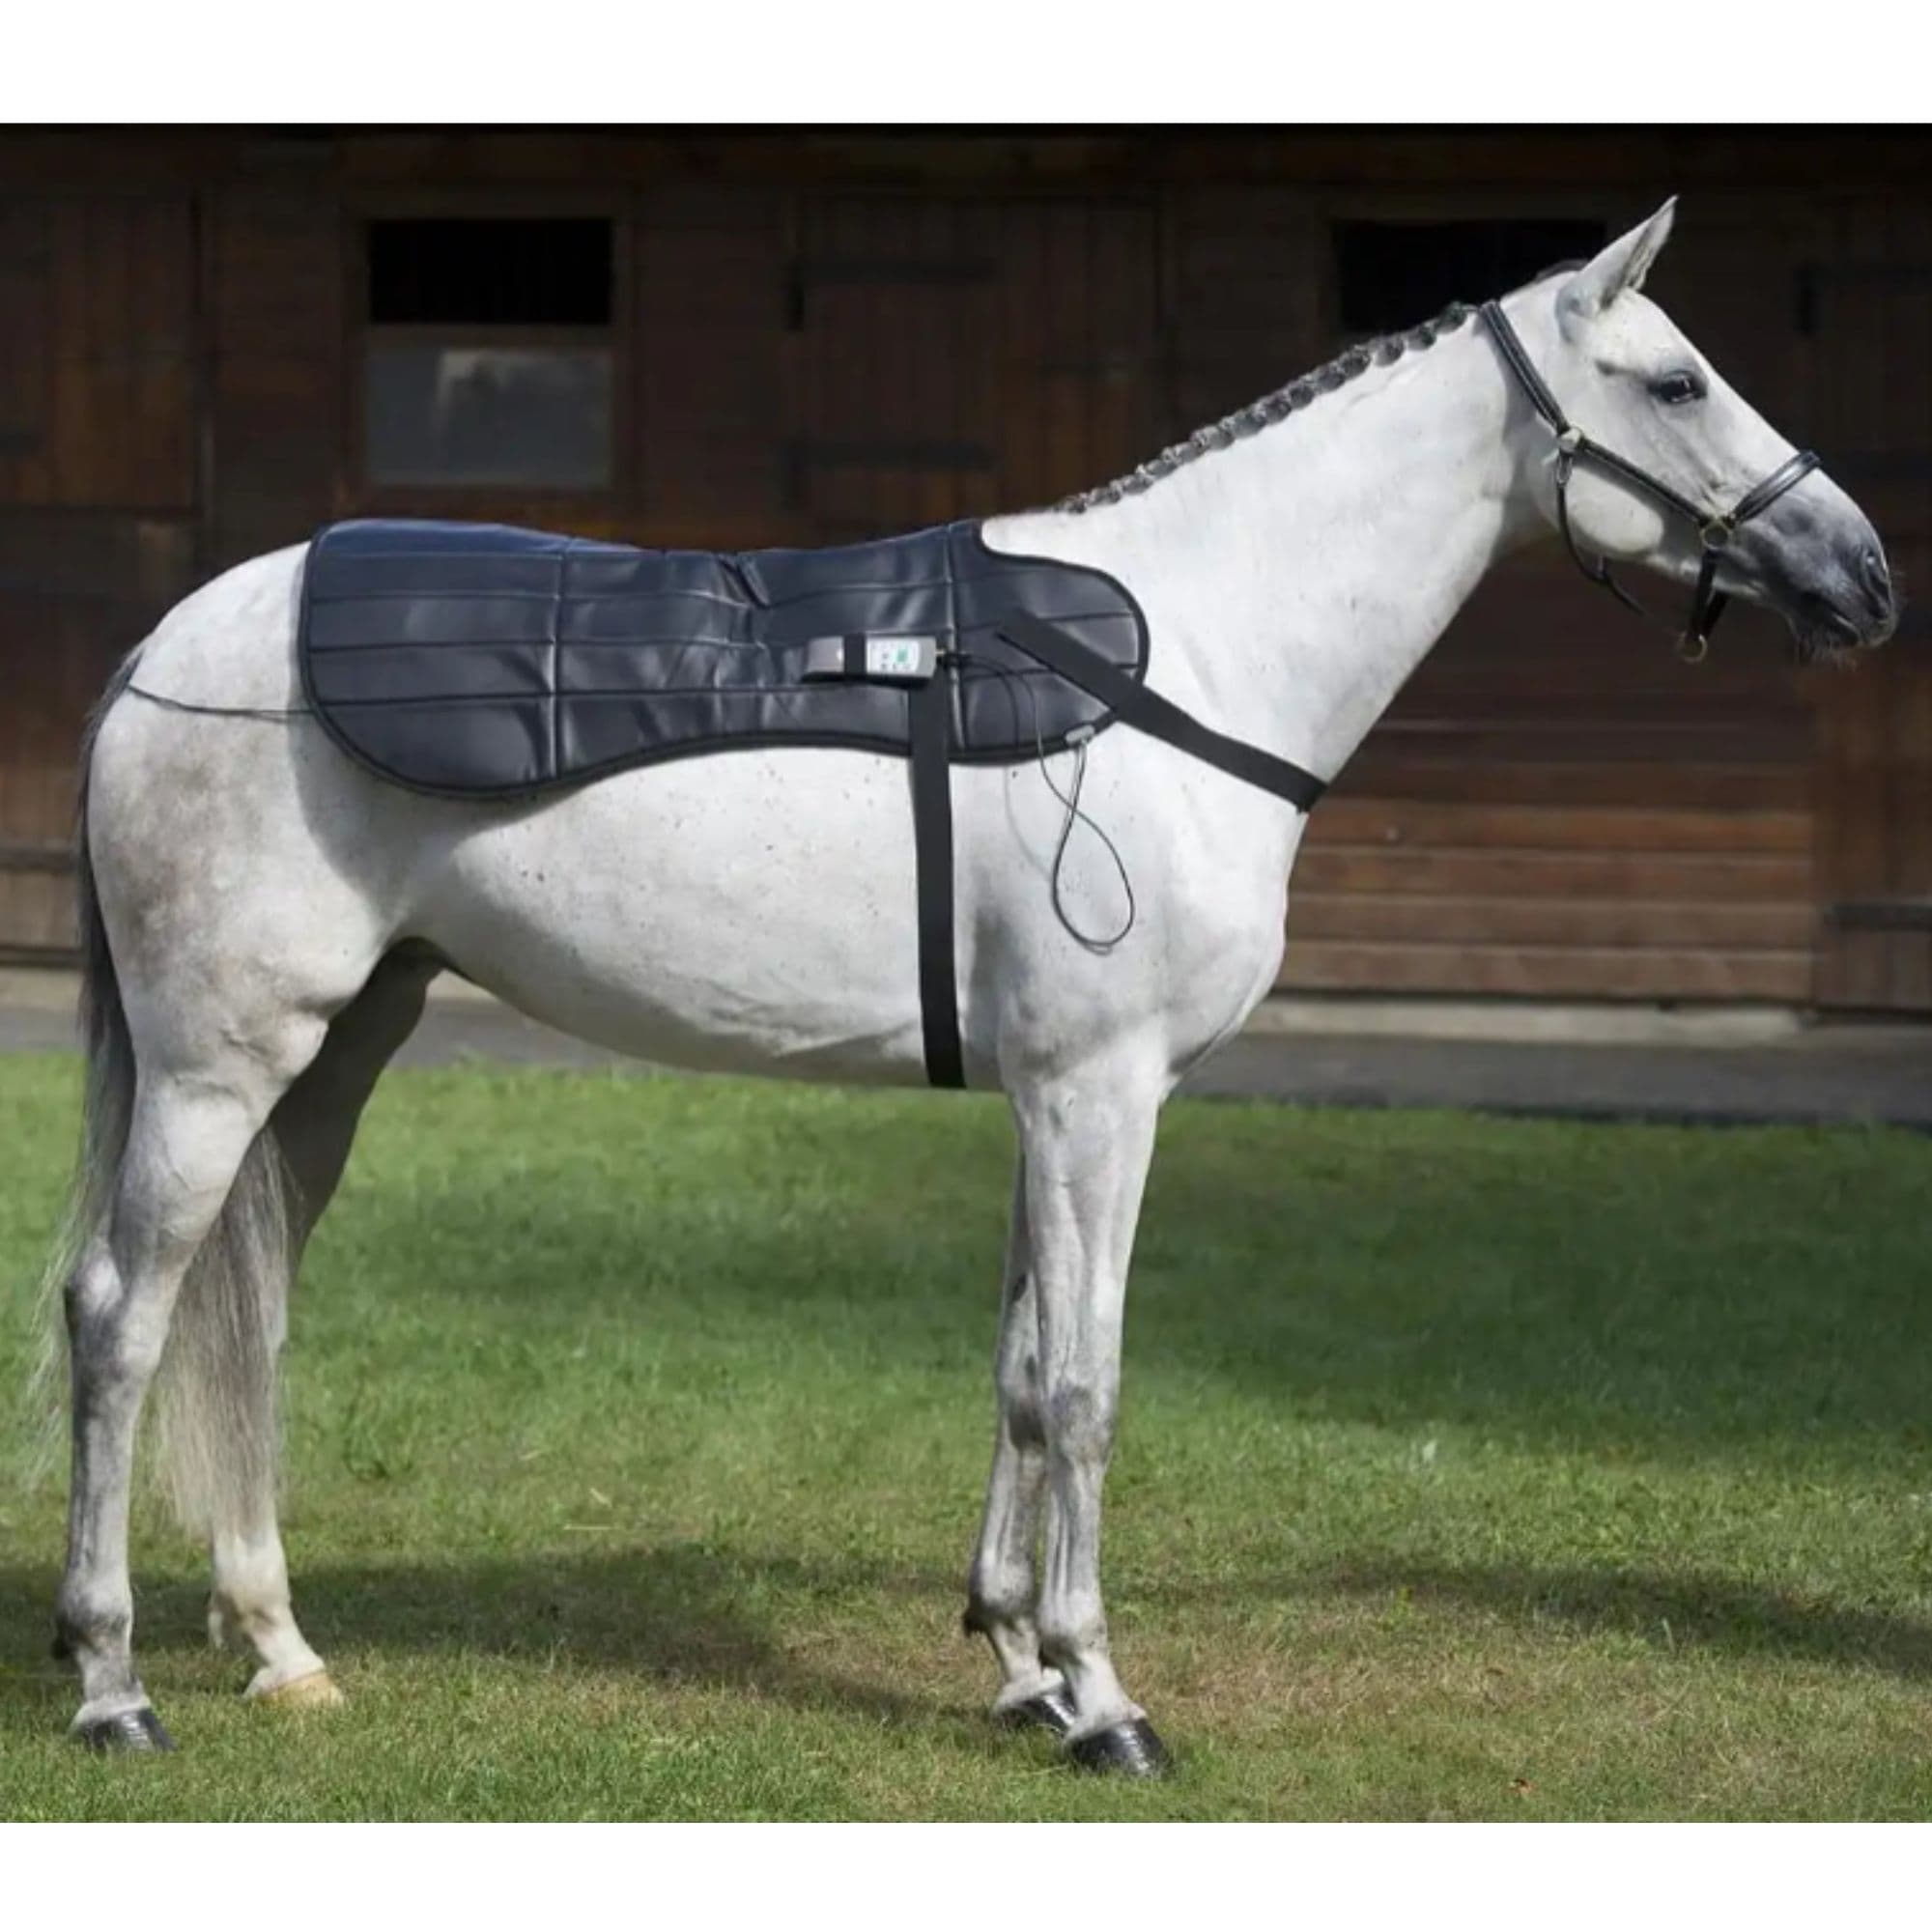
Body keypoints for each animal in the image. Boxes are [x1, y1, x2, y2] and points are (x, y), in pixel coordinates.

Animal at [38, 201, 1895, 1773]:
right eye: (1677, 379)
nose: (1864, 573)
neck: (1183, 658)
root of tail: (159, 652)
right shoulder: (1100, 1093)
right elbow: (1084, 1384)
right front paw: (1105, 1698)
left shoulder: (1048, 1099)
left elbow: (1017, 1368)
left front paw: (1015, 1665)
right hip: (223, 1062)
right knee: (121, 1318)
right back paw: (113, 1682)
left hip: (339, 1052)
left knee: (249, 1314)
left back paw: (281, 1648)